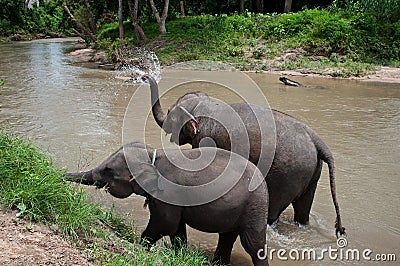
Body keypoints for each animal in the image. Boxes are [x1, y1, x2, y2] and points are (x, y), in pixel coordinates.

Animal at [65, 142, 270, 264]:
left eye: (108, 170)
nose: (60, 176)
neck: (152, 155)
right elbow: (176, 229)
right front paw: (180, 255)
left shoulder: (168, 192)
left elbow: (165, 224)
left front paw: (142, 246)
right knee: (227, 237)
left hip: (255, 207)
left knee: (252, 244)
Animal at [142, 73, 346, 237]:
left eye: (170, 113)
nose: (144, 76)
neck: (204, 104)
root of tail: (316, 139)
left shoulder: (205, 138)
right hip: (310, 172)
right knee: (303, 209)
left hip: (288, 174)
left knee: (274, 210)